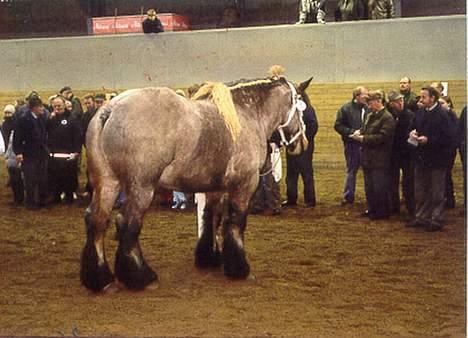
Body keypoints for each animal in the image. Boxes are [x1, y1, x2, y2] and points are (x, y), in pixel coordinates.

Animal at [80, 75, 314, 292]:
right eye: (301, 107)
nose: (303, 143)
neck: (246, 115)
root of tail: (110, 109)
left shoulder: (215, 188)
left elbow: (211, 217)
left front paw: (209, 258)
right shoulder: (245, 185)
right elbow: (235, 223)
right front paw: (239, 269)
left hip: (108, 184)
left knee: (96, 220)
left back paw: (100, 279)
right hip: (141, 188)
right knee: (127, 223)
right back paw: (141, 277)